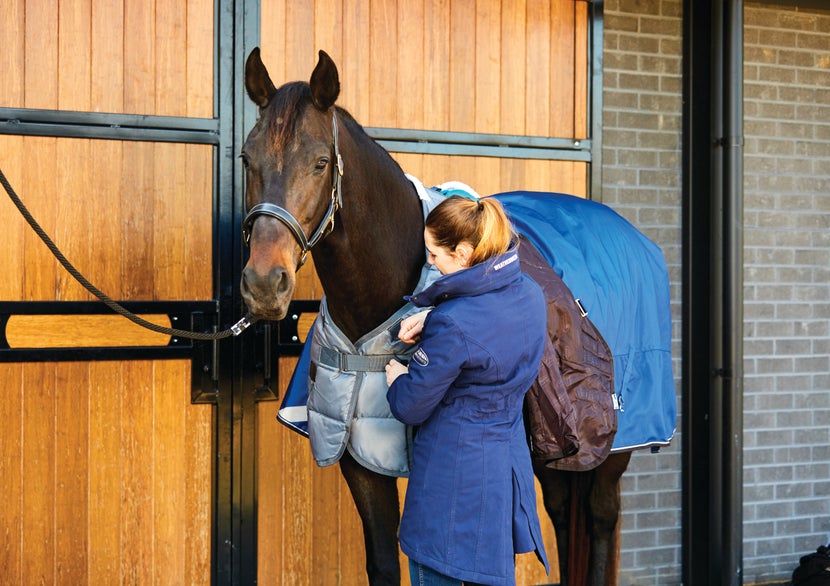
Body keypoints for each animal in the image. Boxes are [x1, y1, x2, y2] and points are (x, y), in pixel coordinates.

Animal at [240, 48, 668, 580]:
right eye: (247, 158)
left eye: (320, 162)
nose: (264, 284)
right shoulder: (358, 454)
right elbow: (384, 562)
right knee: (565, 515)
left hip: (615, 444)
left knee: (600, 517)